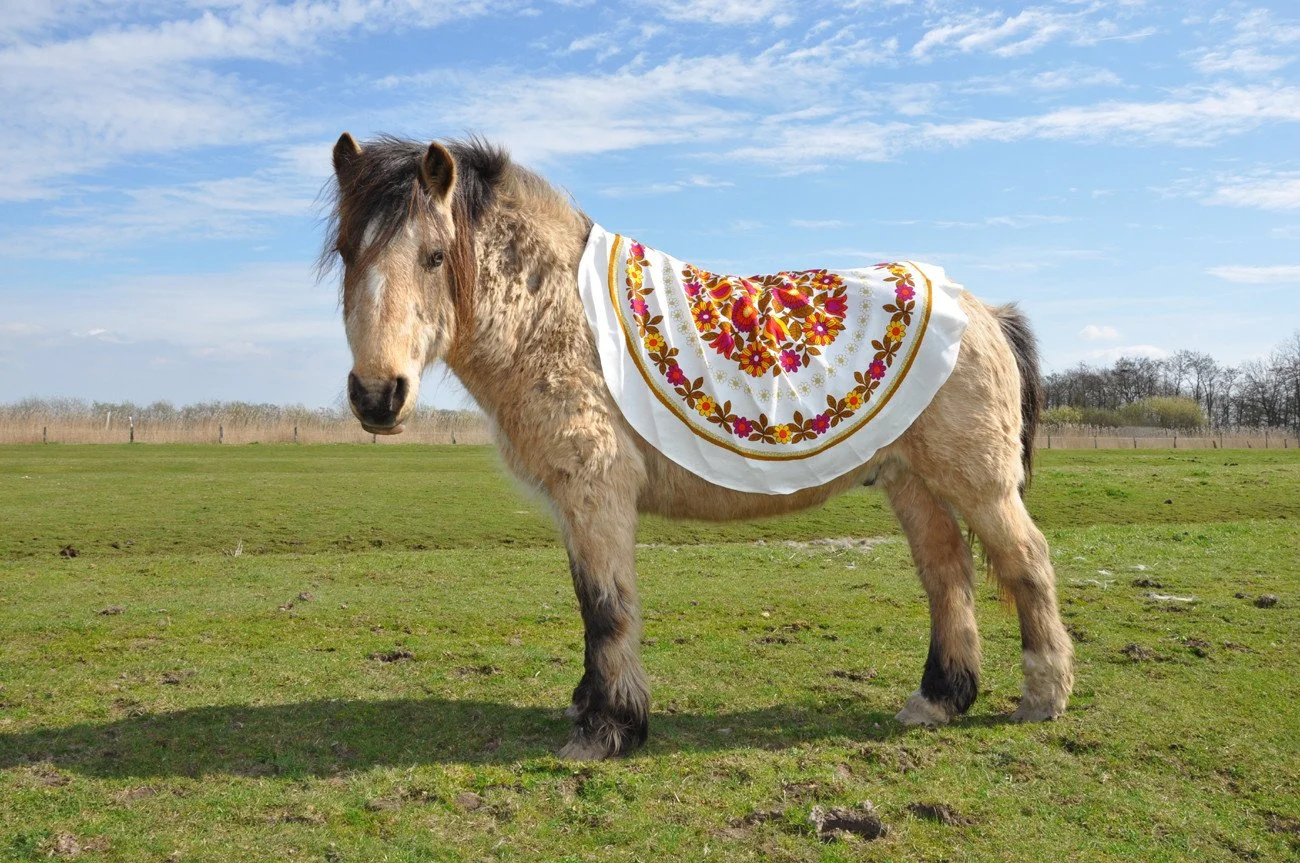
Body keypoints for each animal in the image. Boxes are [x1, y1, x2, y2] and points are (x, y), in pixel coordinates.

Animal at [321, 133, 1075, 760]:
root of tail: (984, 312)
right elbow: (589, 598)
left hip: (978, 483)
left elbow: (606, 605)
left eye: (434, 256)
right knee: (947, 573)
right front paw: (591, 708)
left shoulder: (597, 491)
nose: (377, 395)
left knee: (1026, 561)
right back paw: (939, 699)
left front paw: (608, 728)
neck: (557, 318)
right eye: (349, 255)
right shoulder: (573, 502)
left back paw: (1043, 694)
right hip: (910, 481)